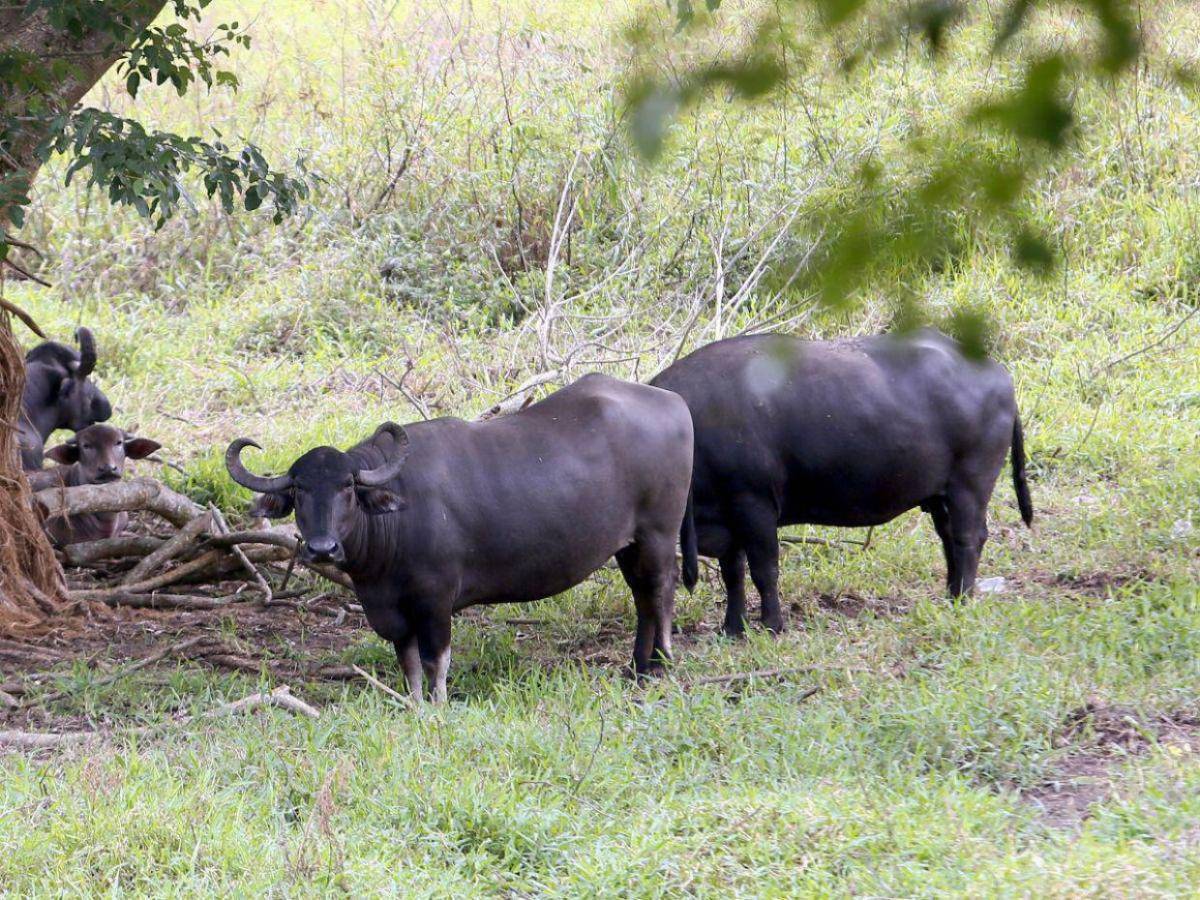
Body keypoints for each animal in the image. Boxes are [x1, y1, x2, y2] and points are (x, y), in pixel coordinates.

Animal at [225, 374, 696, 705]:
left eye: (347, 487)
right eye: (300, 490)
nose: (322, 548)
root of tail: (673, 401)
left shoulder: (435, 599)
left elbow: (435, 658)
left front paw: (438, 704)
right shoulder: (392, 607)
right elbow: (408, 661)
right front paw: (415, 703)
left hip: (657, 534)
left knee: (660, 591)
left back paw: (663, 663)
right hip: (628, 544)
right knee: (642, 598)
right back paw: (638, 667)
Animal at [652, 328, 1036, 633]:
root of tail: (999, 374)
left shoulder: (753, 505)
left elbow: (764, 570)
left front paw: (772, 624)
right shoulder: (728, 516)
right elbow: (733, 575)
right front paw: (733, 628)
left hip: (970, 484)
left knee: (968, 538)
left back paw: (962, 599)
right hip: (939, 495)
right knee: (948, 539)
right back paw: (951, 594)